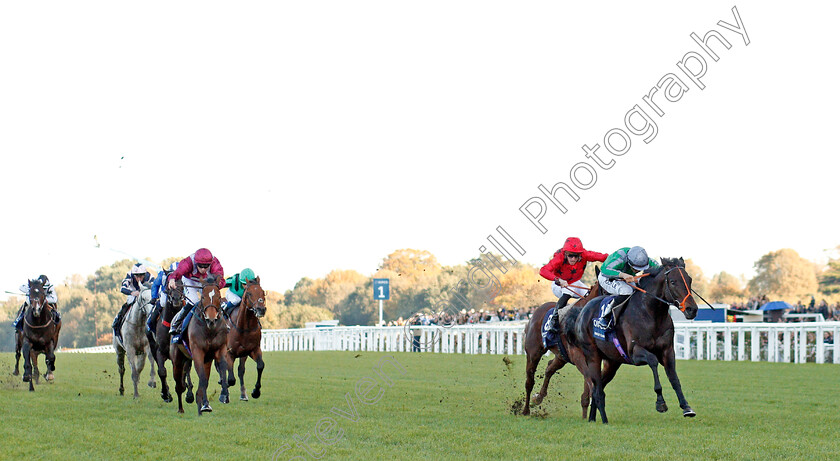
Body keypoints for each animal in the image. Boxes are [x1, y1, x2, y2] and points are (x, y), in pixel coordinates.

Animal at [171, 274, 231, 416]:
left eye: (218, 297)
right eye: (203, 297)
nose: (211, 319)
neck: (210, 330)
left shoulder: (220, 349)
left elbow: (221, 370)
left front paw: (223, 396)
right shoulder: (197, 351)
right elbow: (202, 378)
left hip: (206, 360)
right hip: (177, 360)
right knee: (178, 385)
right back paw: (181, 408)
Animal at [520, 276, 604, 416]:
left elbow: (587, 388)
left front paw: (585, 415)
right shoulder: (577, 356)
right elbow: (589, 379)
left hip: (561, 355)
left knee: (549, 368)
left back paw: (538, 398)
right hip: (533, 353)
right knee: (529, 381)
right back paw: (526, 409)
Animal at [576, 256, 704, 422]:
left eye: (689, 280)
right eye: (673, 281)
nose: (692, 309)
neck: (651, 313)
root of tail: (583, 311)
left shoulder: (668, 351)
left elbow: (674, 378)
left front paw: (686, 407)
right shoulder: (634, 352)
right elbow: (653, 361)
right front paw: (660, 402)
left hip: (612, 362)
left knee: (600, 387)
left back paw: (593, 418)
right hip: (593, 356)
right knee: (597, 389)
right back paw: (603, 420)